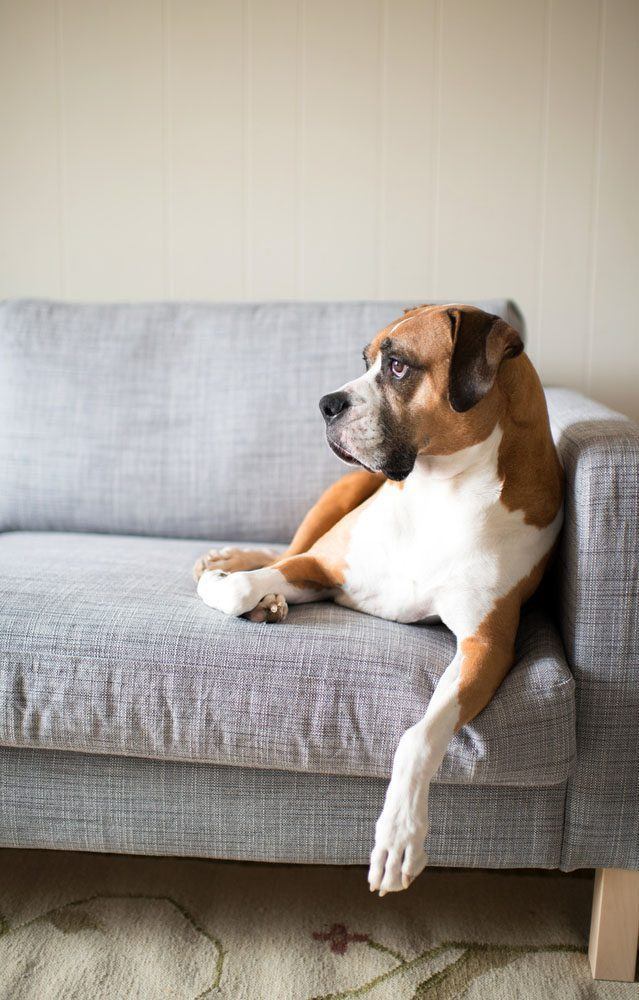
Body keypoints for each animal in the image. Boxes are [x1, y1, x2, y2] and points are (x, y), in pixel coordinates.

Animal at [192, 304, 564, 900]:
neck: (442, 493)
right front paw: (228, 583)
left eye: (397, 366)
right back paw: (244, 575)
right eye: (365, 360)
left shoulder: (485, 648)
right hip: (336, 497)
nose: (326, 403)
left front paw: (400, 834)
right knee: (282, 549)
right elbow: (240, 586)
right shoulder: (321, 568)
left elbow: (419, 737)